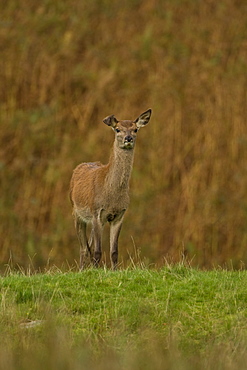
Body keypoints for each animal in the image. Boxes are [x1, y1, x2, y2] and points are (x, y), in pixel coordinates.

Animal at [68, 107, 151, 268]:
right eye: (117, 129)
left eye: (135, 129)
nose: (128, 138)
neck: (112, 195)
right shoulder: (97, 212)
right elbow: (97, 251)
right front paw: (95, 270)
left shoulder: (119, 215)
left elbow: (114, 252)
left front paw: (114, 270)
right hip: (77, 211)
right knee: (83, 248)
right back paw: (81, 269)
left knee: (88, 245)